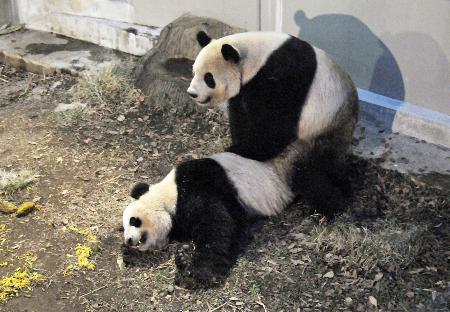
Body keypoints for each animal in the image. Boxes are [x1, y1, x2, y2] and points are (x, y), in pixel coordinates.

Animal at [121, 152, 294, 286]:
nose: (128, 240)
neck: (168, 196)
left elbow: (217, 224)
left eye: (133, 221)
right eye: (123, 227)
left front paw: (193, 267)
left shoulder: (198, 187)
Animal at [186, 31, 358, 217]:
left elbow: (276, 126)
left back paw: (333, 204)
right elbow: (241, 115)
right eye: (194, 71)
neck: (256, 58)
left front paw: (242, 150)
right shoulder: (246, 88)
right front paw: (239, 144)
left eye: (209, 78)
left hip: (322, 131)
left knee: (311, 172)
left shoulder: (283, 76)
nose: (192, 93)